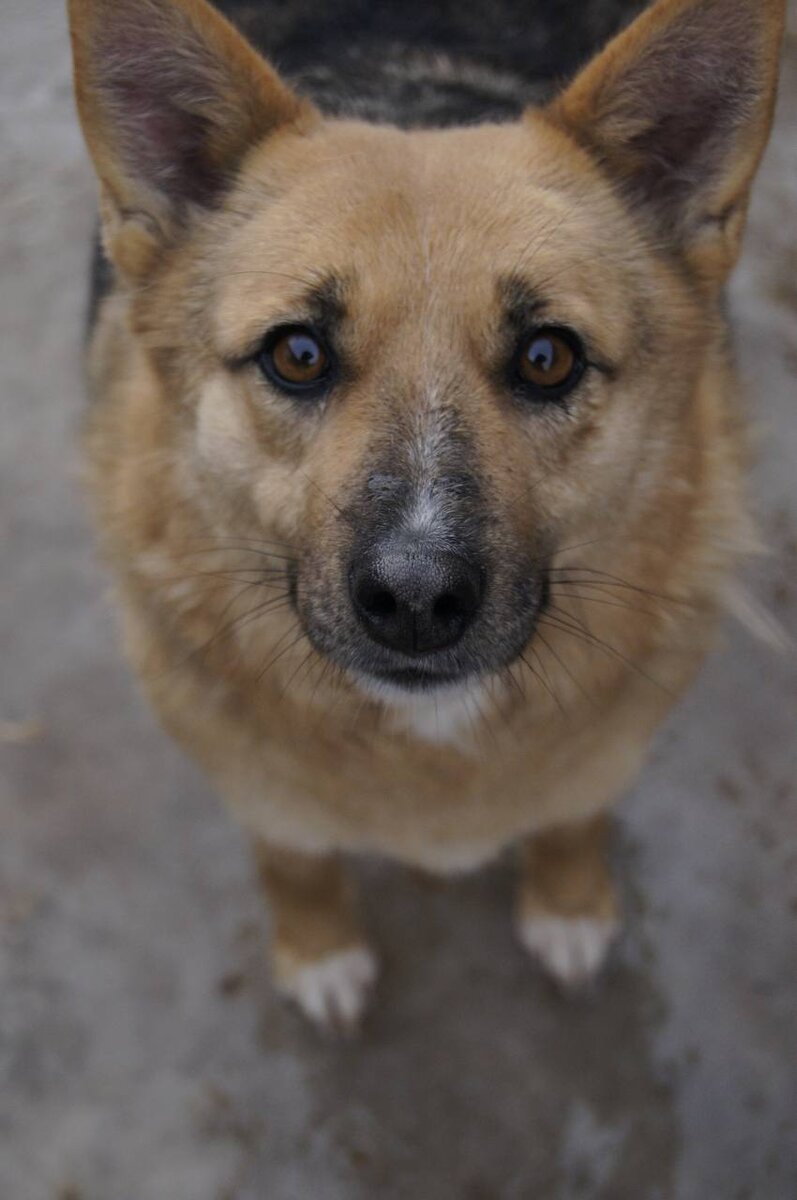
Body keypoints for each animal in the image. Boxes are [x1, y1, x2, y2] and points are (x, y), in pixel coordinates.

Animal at [66, 0, 782, 1032]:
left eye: (547, 358)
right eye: (296, 353)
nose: (414, 600)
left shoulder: (606, 750)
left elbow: (573, 814)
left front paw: (568, 901)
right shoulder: (251, 779)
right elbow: (294, 858)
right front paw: (318, 947)